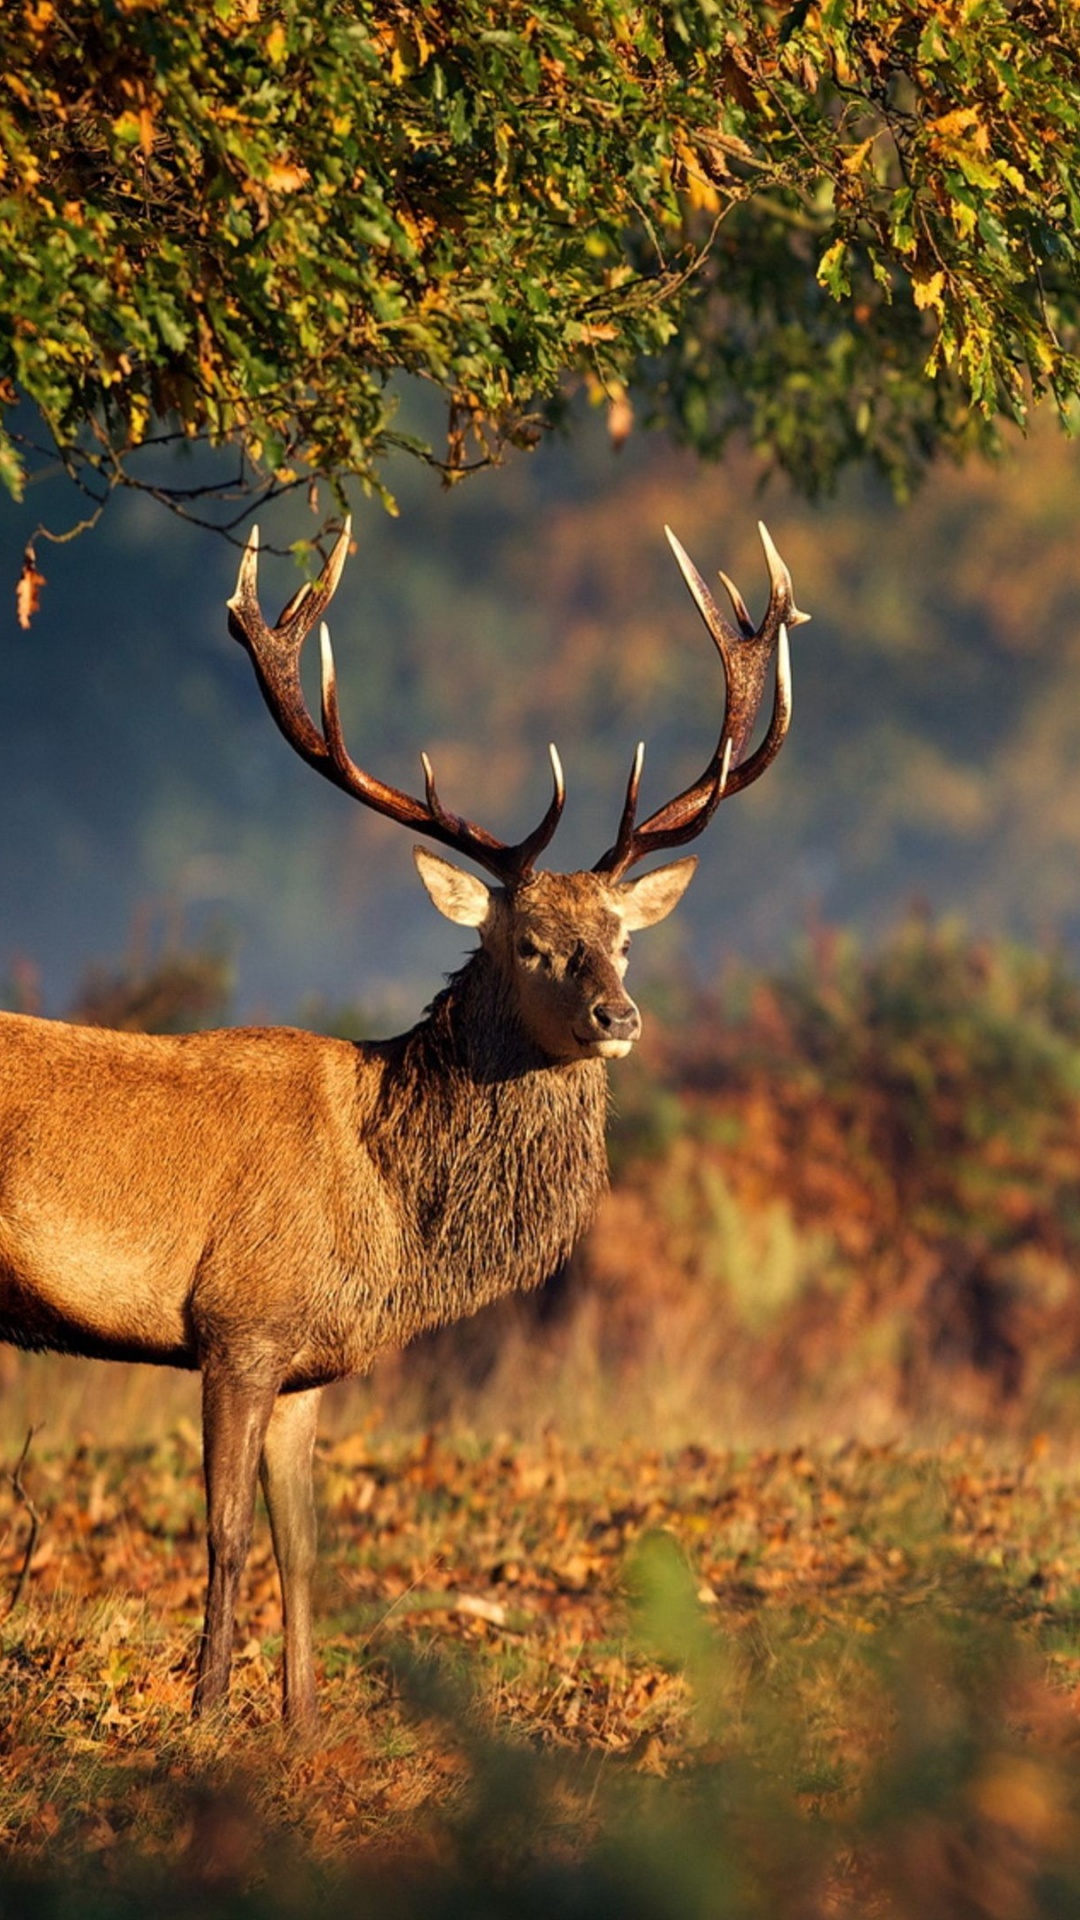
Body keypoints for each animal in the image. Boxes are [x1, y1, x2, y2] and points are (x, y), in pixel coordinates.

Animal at [0, 516, 807, 1731]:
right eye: (528, 942)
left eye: (625, 938)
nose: (620, 1015)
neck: (388, 1214)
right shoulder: (237, 1326)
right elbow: (224, 1537)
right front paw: (204, 1720)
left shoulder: (307, 1366)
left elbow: (303, 1548)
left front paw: (301, 1726)